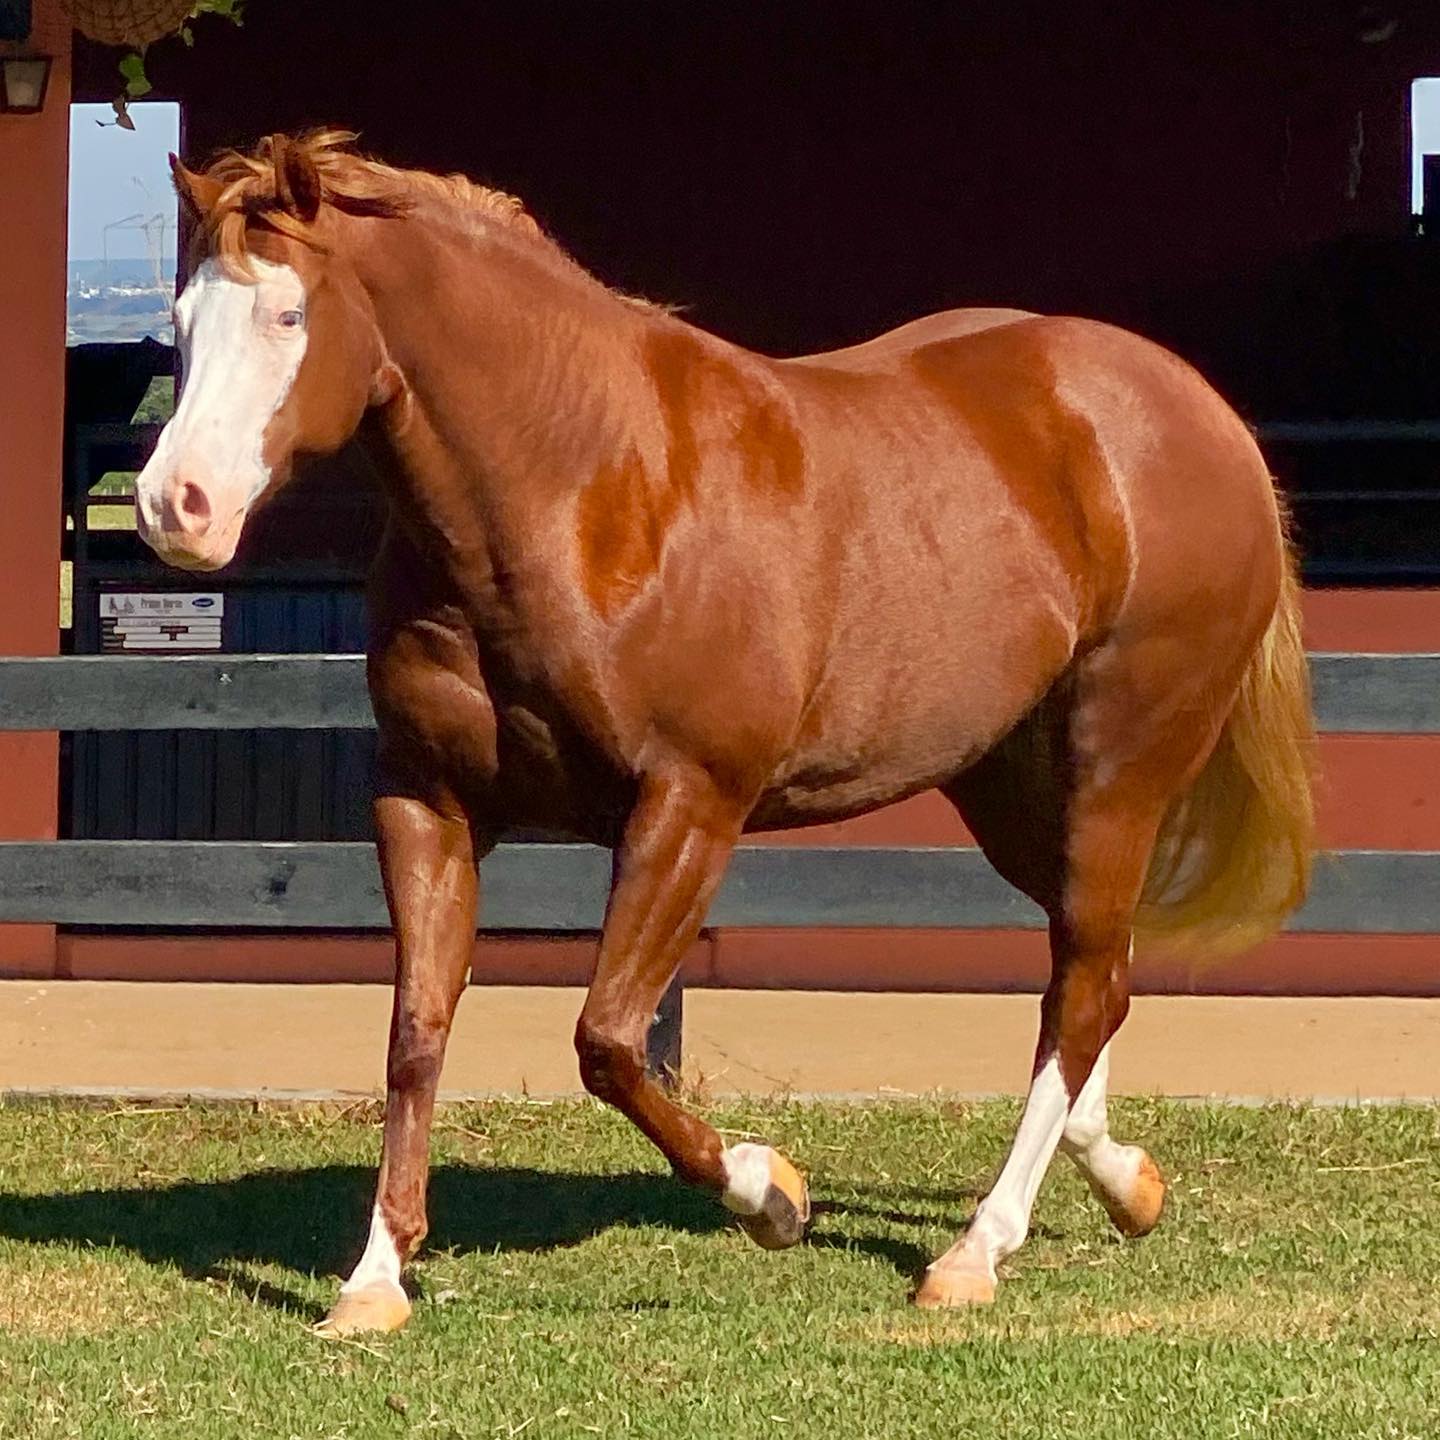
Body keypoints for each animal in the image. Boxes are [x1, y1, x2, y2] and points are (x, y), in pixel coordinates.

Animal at [133, 129, 1315, 1334]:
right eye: (180, 317)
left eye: (289, 313)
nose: (173, 506)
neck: (583, 491)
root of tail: (1199, 413)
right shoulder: (427, 799)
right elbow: (416, 1035)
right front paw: (374, 1281)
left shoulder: (690, 805)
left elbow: (609, 1043)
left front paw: (771, 1194)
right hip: (1012, 784)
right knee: (1094, 966)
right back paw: (1124, 1184)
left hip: (1118, 768)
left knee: (1082, 986)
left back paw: (976, 1250)